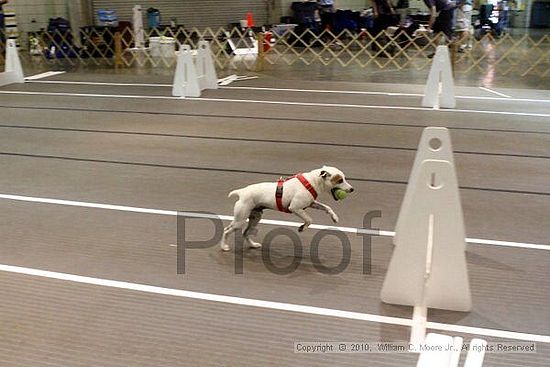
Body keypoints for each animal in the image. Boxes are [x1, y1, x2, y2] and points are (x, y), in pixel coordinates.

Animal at [221, 167, 356, 252]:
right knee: (227, 230)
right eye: (340, 180)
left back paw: (253, 245)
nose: (352, 189)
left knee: (245, 232)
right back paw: (224, 247)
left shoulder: (311, 203)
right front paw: (302, 227)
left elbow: (327, 207)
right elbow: (309, 219)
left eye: (344, 178)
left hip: (255, 218)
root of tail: (241, 192)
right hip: (240, 220)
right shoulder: (295, 208)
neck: (311, 182)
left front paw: (334, 217)